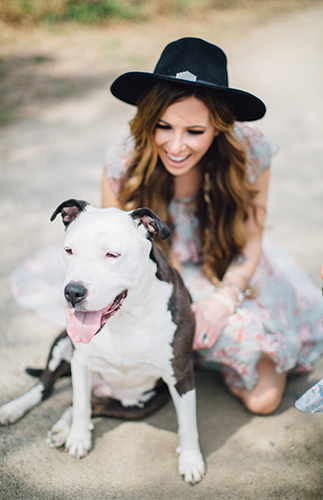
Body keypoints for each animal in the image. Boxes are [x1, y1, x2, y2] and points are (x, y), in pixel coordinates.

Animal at [0, 199, 206, 484]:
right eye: (69, 251)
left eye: (112, 255)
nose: (73, 292)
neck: (126, 318)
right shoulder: (80, 361)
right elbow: (80, 403)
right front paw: (78, 438)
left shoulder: (181, 373)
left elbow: (187, 422)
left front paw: (190, 459)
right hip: (61, 343)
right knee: (47, 387)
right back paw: (15, 409)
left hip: (139, 405)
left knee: (90, 405)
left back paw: (62, 427)